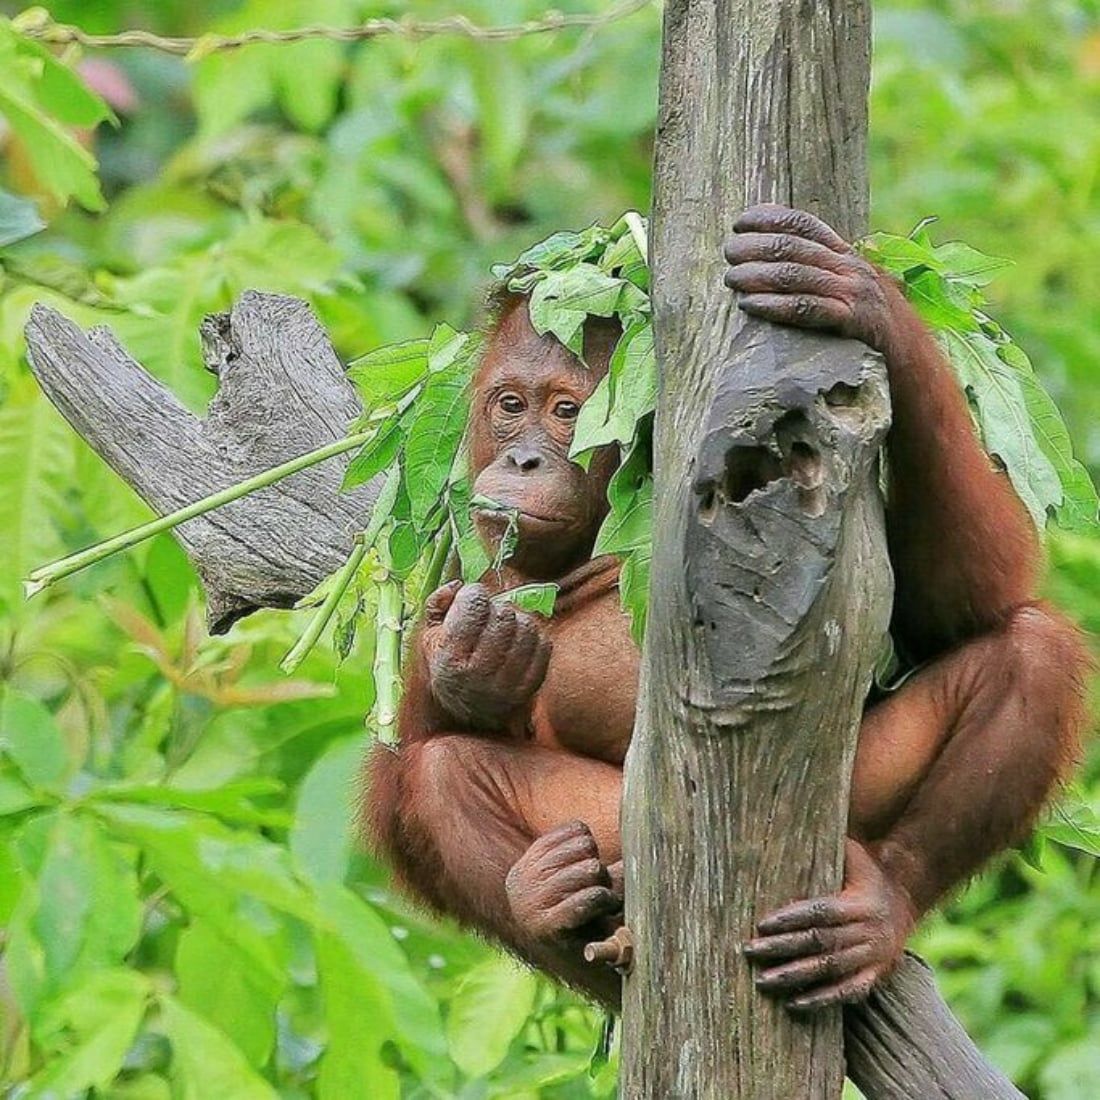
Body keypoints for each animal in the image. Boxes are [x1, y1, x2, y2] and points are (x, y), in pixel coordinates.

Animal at [367, 205, 1089, 1012]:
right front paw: (468, 663)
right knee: (433, 777)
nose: (522, 459)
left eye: (566, 411)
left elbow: (965, 607)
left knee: (1031, 649)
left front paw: (863, 299)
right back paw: (555, 901)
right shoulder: (477, 558)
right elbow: (410, 736)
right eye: (510, 405)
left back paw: (875, 912)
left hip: (847, 809)